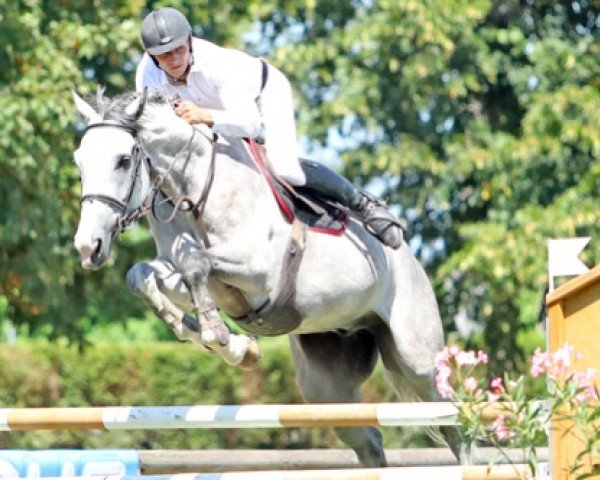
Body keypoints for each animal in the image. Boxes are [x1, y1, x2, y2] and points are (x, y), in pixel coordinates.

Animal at [69, 89, 464, 464]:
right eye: (79, 160)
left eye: (124, 160)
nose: (88, 247)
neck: (192, 191)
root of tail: (411, 260)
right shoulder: (183, 273)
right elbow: (143, 275)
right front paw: (222, 341)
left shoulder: (260, 271)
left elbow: (196, 263)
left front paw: (220, 338)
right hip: (326, 385)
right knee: (369, 442)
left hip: (418, 357)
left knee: (456, 421)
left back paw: (382, 221)